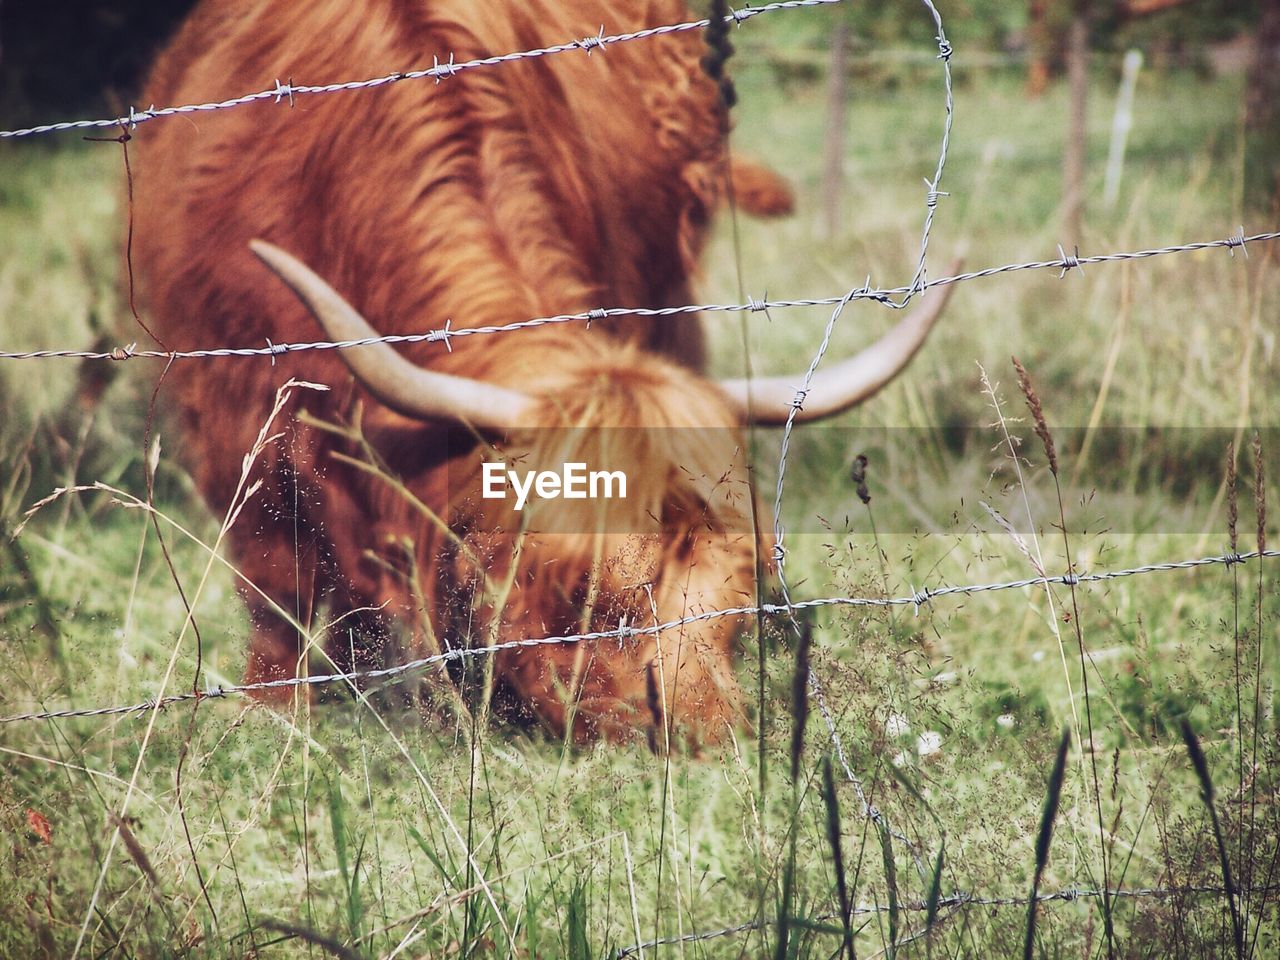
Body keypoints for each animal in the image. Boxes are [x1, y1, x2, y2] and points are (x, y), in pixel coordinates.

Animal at [135, 1, 952, 742]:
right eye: (581, 589)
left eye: (745, 587)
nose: (703, 737)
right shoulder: (242, 418)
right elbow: (277, 584)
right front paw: (272, 711)